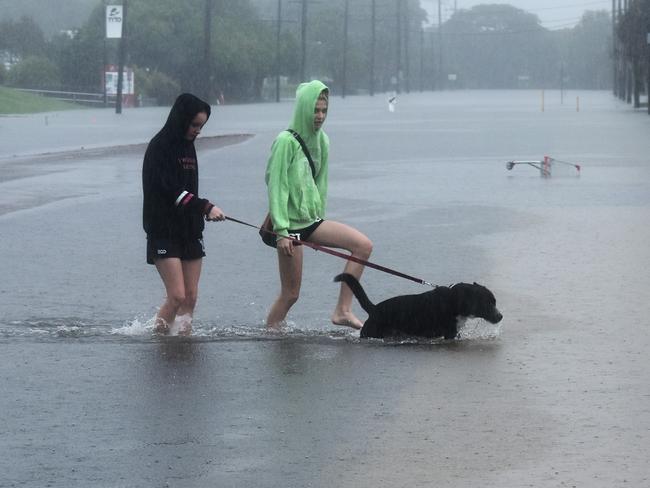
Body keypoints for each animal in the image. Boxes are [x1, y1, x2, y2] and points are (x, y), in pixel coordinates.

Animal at [334, 274, 502, 340]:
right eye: (488, 303)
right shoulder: (449, 333)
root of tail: (374, 309)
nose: (500, 316)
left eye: (494, 302)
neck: (455, 301)